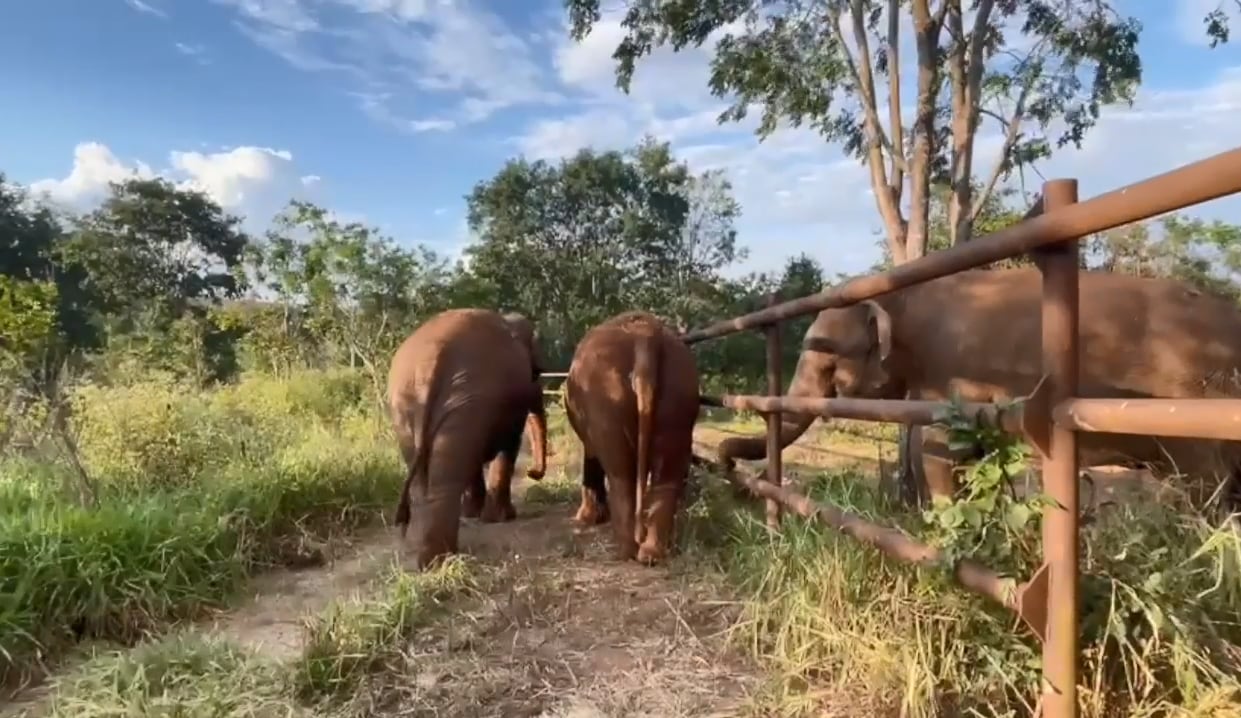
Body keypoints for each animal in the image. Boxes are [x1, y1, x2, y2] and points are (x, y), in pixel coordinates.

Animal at [384, 306, 546, 570]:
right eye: (537, 373)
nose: (533, 473)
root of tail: (428, 365)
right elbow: (508, 445)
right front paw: (501, 518)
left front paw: (474, 515)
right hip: (463, 397)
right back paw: (438, 560)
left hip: (407, 408)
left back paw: (428, 556)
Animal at [563, 311, 699, 565]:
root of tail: (645, 336)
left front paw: (586, 519)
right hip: (679, 389)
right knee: (667, 472)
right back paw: (650, 554)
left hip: (605, 400)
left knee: (620, 473)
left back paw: (626, 551)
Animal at [719, 266, 1241, 513]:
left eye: (827, 363)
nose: (731, 472)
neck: (901, 292)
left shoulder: (952, 368)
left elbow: (938, 450)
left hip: (1197, 411)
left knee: (1205, 489)